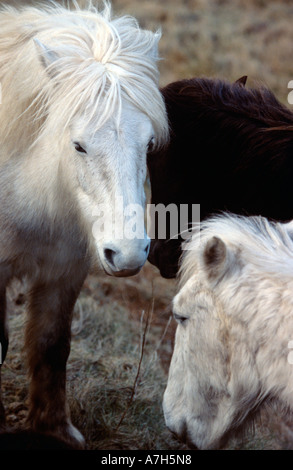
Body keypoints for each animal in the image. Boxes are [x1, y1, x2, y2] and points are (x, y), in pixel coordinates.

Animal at [0, 0, 168, 448]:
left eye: (148, 144)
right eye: (78, 145)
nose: (128, 254)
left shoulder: (65, 271)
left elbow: (51, 345)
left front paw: (54, 429)